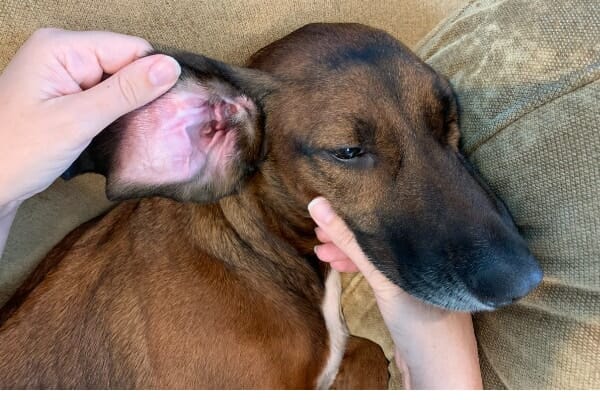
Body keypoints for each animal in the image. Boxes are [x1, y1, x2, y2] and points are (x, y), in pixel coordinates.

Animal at [0, 21, 544, 388]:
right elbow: (369, 353)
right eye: (348, 151)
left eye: (450, 122)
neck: (259, 254)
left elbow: (368, 349)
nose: (524, 281)